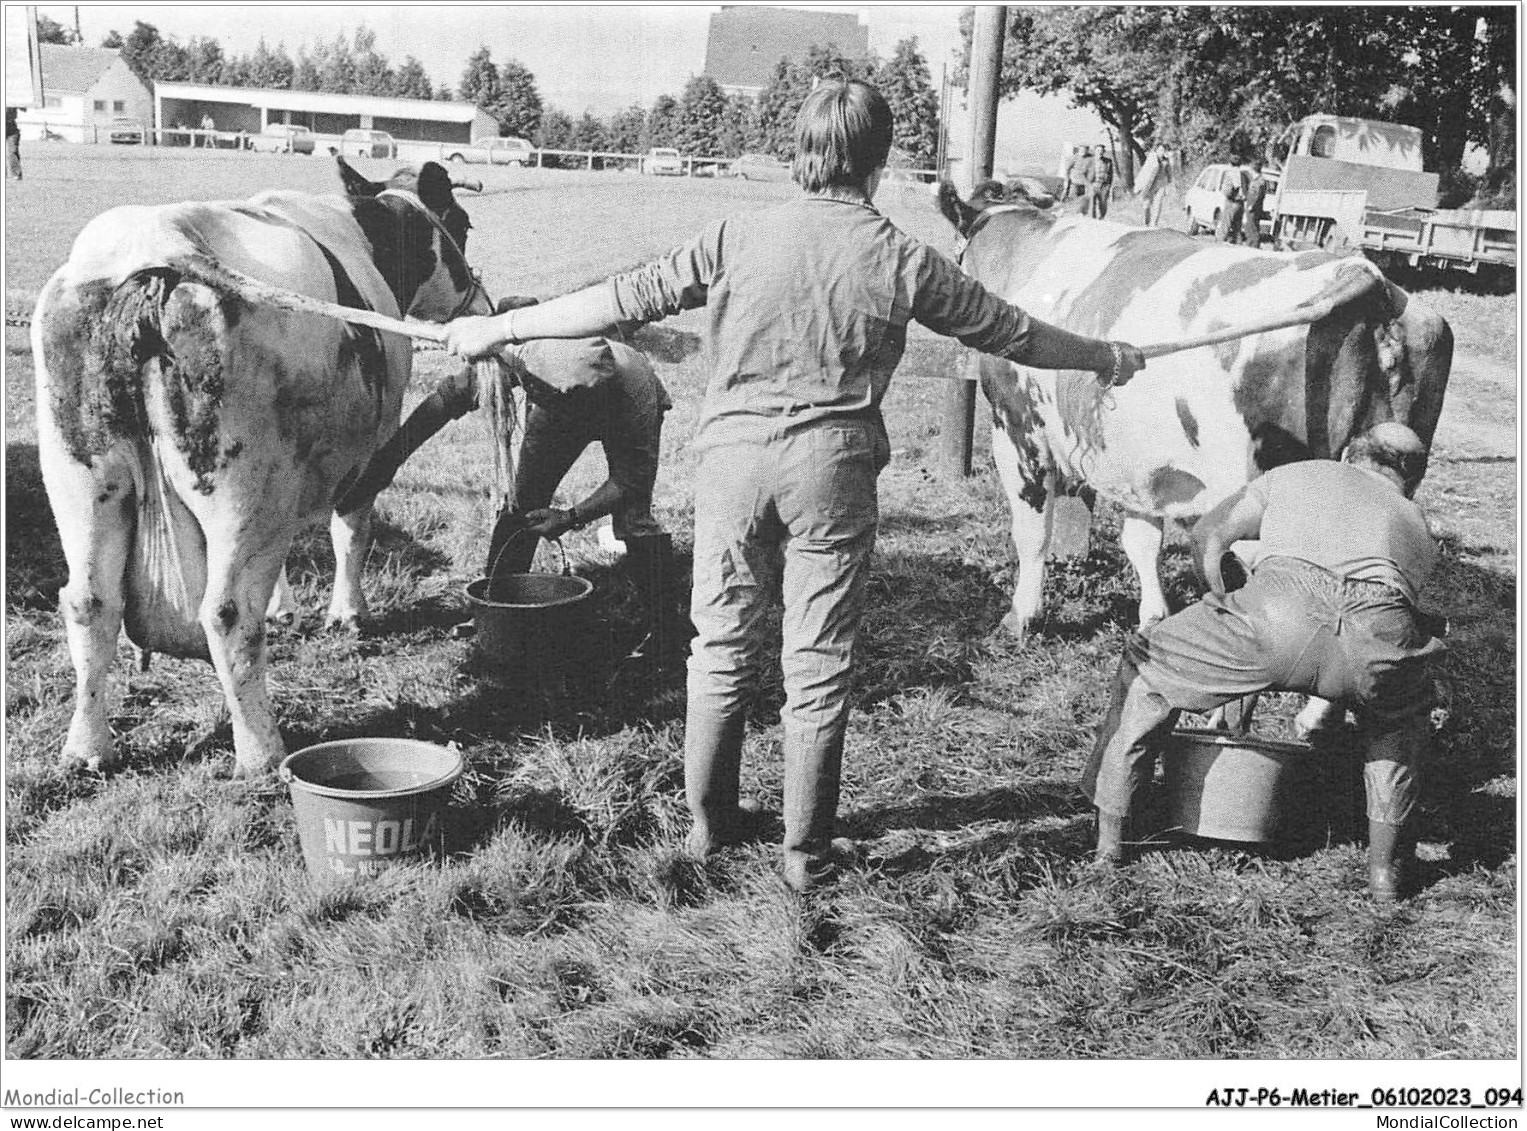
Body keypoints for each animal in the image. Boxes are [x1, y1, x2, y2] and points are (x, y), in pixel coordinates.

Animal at [34, 161, 488, 775]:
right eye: (461, 224)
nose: (484, 304)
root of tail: (161, 243)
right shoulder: (366, 457)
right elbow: (351, 531)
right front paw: (348, 614)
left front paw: (285, 608)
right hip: (244, 490)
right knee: (226, 613)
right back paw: (262, 753)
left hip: (84, 482)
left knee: (90, 602)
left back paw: (87, 749)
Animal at [934, 183, 1447, 644]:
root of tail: (1365, 274)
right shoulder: (1139, 465)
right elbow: (1142, 541)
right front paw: (1153, 617)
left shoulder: (1018, 432)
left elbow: (1033, 532)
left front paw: (1021, 618)